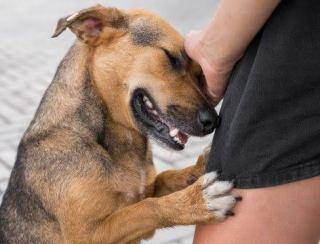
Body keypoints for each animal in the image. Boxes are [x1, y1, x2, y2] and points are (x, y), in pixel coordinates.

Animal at [0, 4, 240, 243]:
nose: (213, 121)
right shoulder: (89, 234)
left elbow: (166, 177)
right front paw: (195, 201)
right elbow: (146, 208)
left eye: (199, 74)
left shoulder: (146, 188)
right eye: (171, 57)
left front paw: (198, 168)